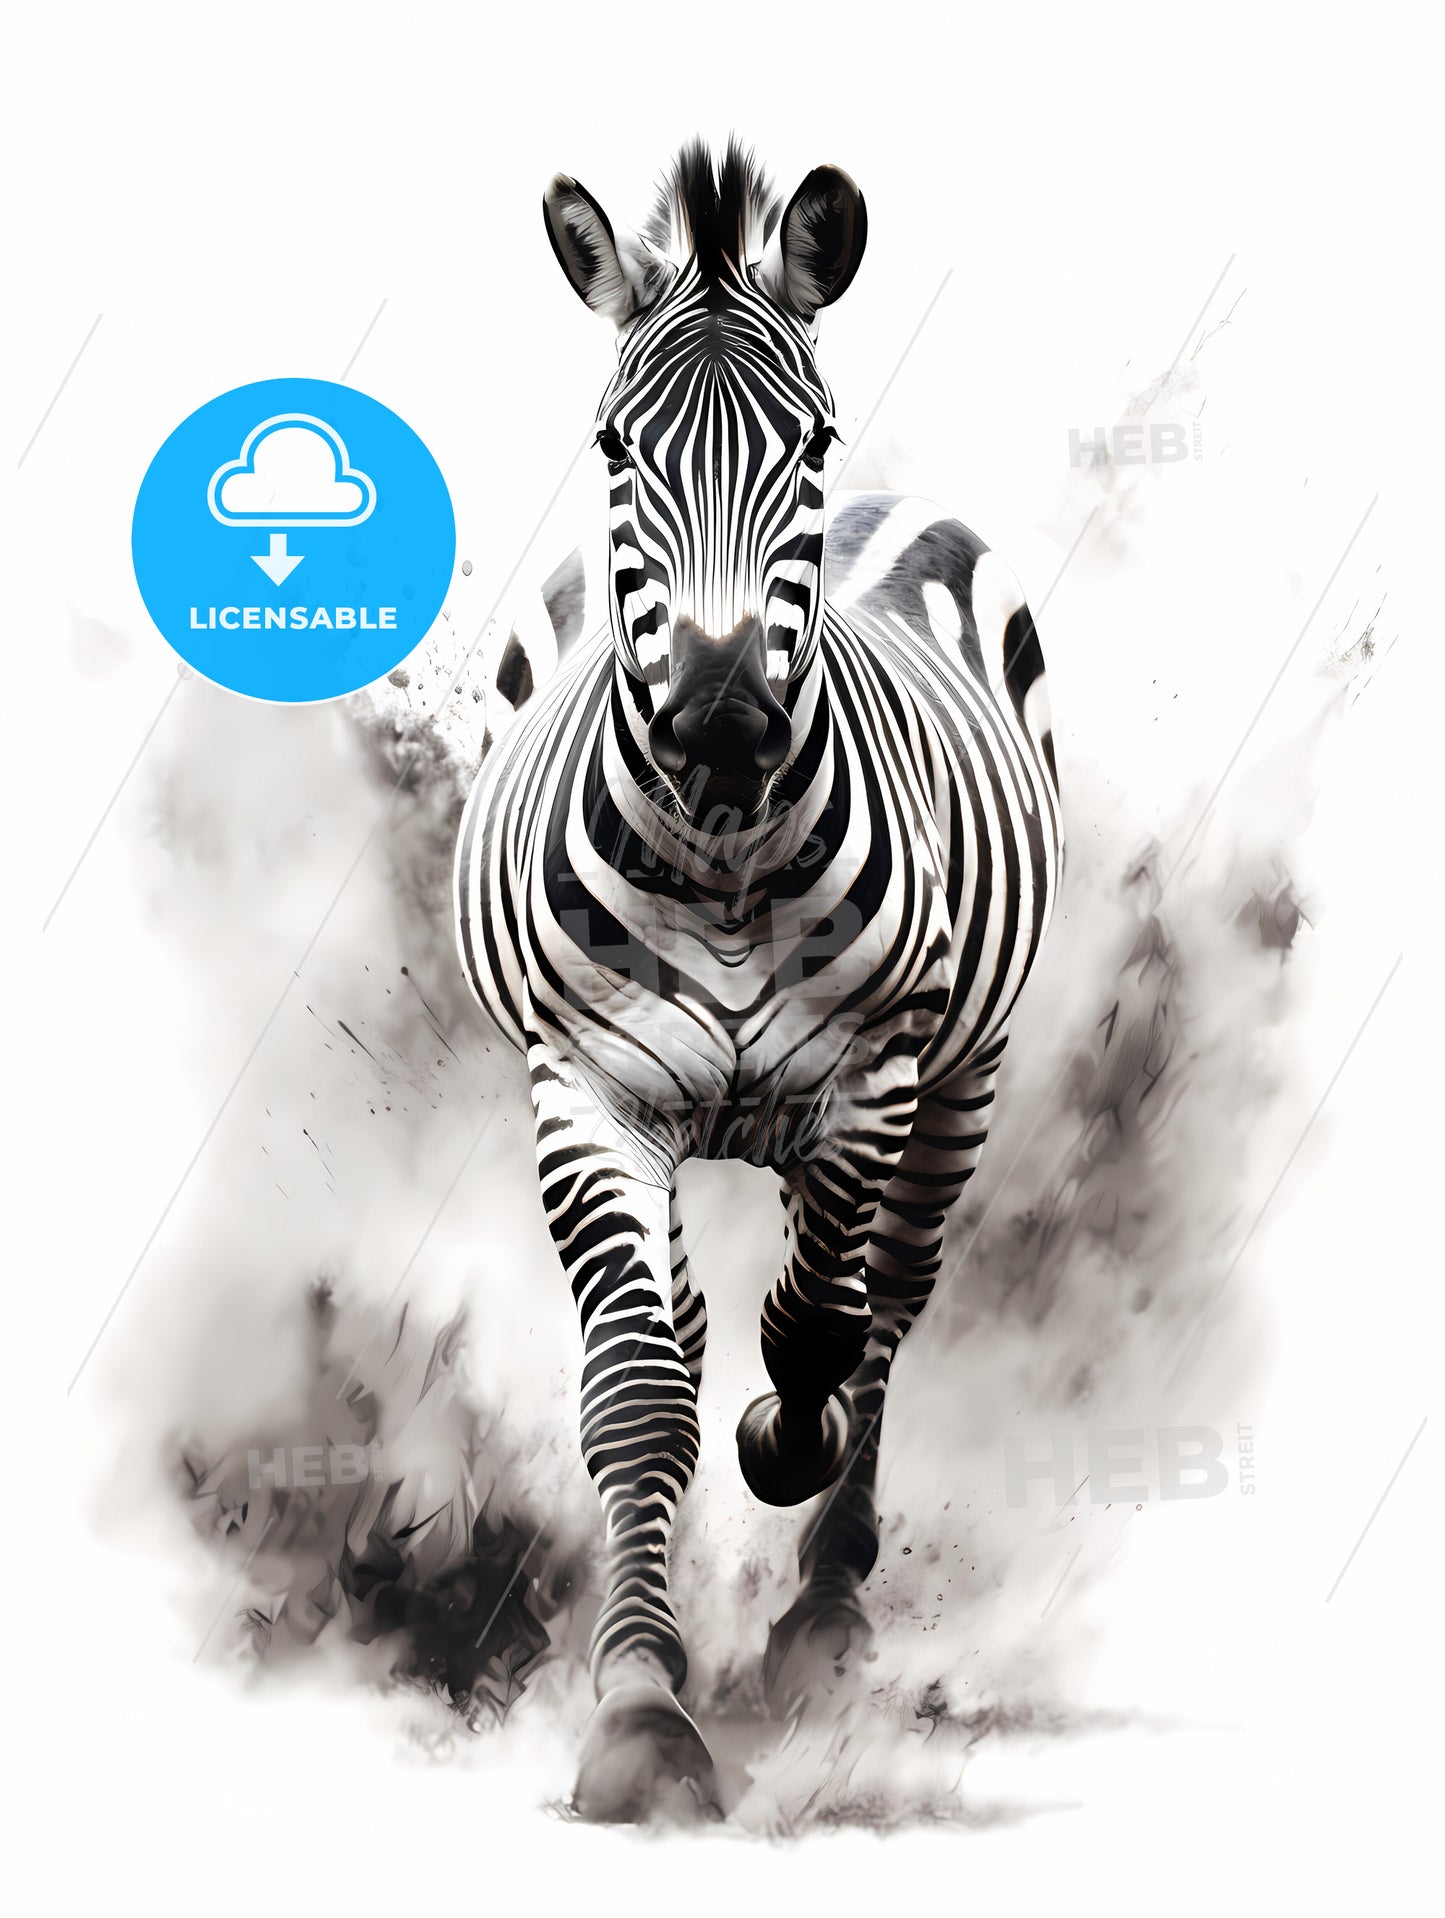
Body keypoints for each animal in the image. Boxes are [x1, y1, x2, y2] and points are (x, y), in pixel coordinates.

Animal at [455, 141, 1062, 1820]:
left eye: (809, 439)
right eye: (614, 443)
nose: (722, 716)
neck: (725, 852)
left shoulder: (873, 1078)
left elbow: (814, 1335)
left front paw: (781, 1445)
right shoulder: (583, 1094)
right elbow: (639, 1392)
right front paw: (638, 1704)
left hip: (961, 1076)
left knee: (886, 1299)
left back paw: (827, 1602)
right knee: (697, 1317)